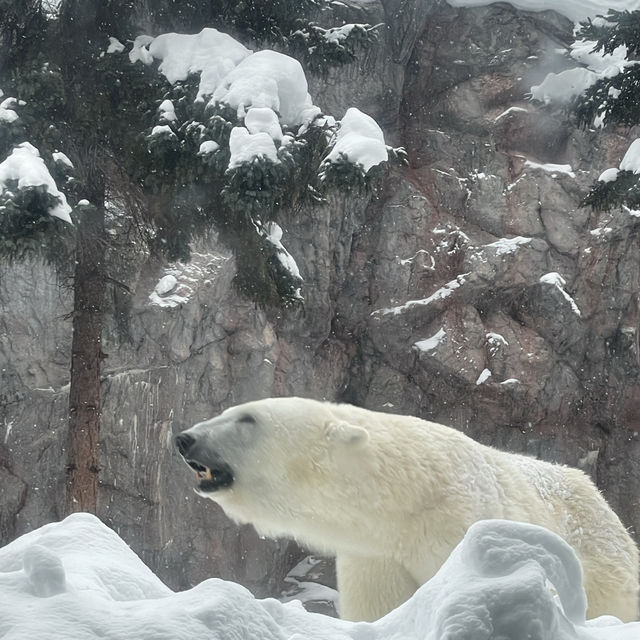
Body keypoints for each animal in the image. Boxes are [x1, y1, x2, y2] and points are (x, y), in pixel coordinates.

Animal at [175, 398, 640, 624]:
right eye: (227, 411)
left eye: (247, 419)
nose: (184, 438)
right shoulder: (376, 554)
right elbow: (379, 607)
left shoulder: (459, 522)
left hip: (598, 553)